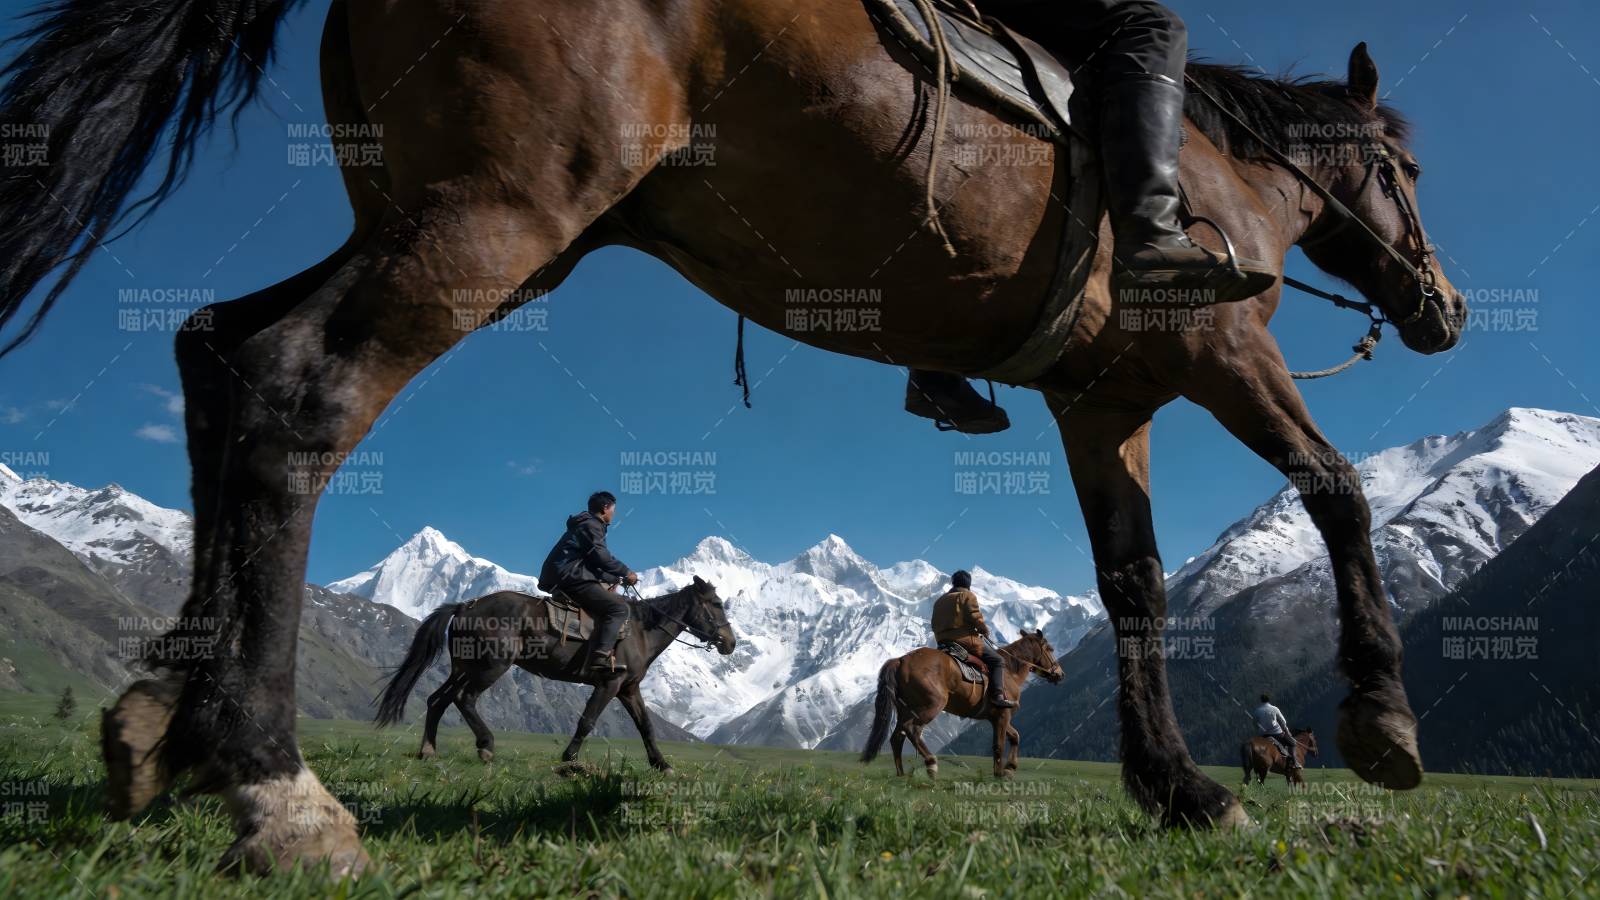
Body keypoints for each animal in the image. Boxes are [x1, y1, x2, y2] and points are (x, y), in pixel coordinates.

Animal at [374, 576, 735, 770]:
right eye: (717, 604)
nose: (730, 643)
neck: (642, 630)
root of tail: (466, 606)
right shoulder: (610, 682)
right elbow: (587, 721)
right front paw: (569, 757)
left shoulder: (628, 688)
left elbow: (646, 726)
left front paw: (662, 764)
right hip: (491, 666)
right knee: (465, 699)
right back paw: (486, 746)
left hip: (464, 667)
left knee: (438, 700)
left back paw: (428, 750)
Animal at [861, 630, 1064, 779]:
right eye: (1050, 649)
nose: (1060, 674)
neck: (1010, 671)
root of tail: (901, 660)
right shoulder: (1002, 714)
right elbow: (998, 745)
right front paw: (999, 774)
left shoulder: (997, 717)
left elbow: (1015, 737)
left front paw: (1009, 768)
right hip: (930, 707)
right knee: (912, 730)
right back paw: (931, 764)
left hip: (905, 710)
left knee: (897, 737)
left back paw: (901, 774)